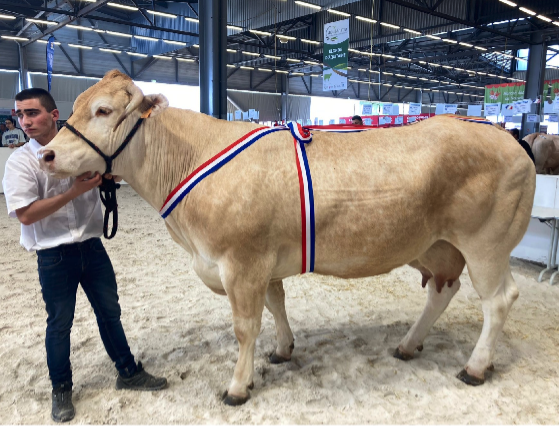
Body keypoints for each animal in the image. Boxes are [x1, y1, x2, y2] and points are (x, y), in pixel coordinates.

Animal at [39, 70, 540, 404]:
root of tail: (508, 138)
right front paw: (282, 350)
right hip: (438, 246)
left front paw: (238, 386)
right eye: (74, 106)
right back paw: (408, 344)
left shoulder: (240, 261)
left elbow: (245, 326)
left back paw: (475, 367)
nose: (46, 155)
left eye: (103, 110)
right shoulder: (262, 260)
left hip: (486, 244)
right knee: (442, 289)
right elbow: (275, 303)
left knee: (498, 300)